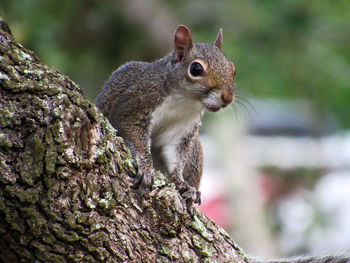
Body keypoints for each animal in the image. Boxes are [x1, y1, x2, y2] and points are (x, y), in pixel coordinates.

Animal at [95, 24, 235, 210]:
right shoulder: (134, 107)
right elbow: (135, 136)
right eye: (196, 69)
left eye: (233, 69)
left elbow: (175, 155)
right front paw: (146, 168)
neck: (184, 101)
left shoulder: (181, 130)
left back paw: (194, 189)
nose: (228, 97)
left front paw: (181, 181)